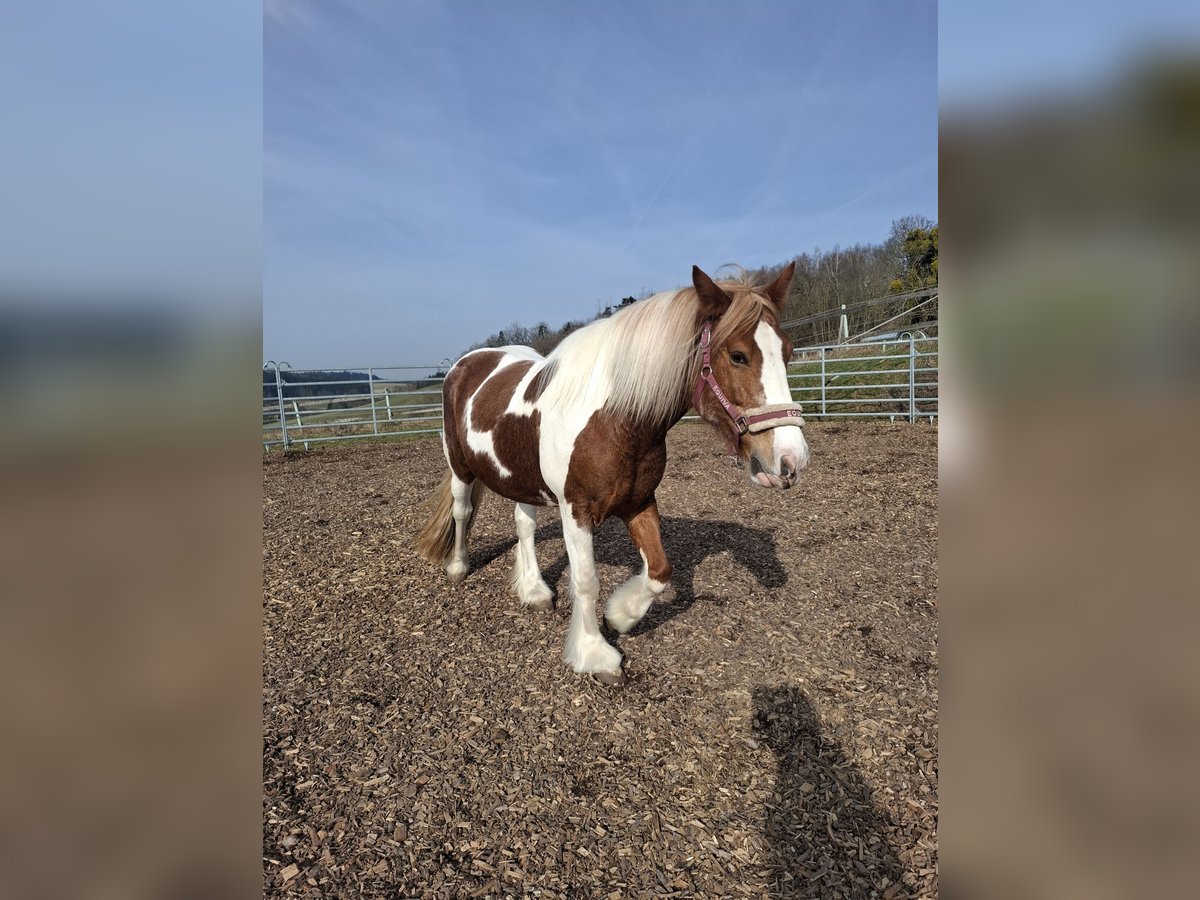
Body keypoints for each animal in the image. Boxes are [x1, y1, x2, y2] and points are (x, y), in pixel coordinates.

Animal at [416, 263, 809, 683]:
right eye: (738, 356)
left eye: (788, 352)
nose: (790, 460)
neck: (616, 418)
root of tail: (465, 364)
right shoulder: (576, 512)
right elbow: (586, 581)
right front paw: (595, 654)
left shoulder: (639, 501)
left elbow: (659, 570)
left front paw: (620, 616)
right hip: (460, 467)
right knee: (461, 512)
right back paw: (458, 567)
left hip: (520, 478)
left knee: (524, 524)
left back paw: (534, 590)